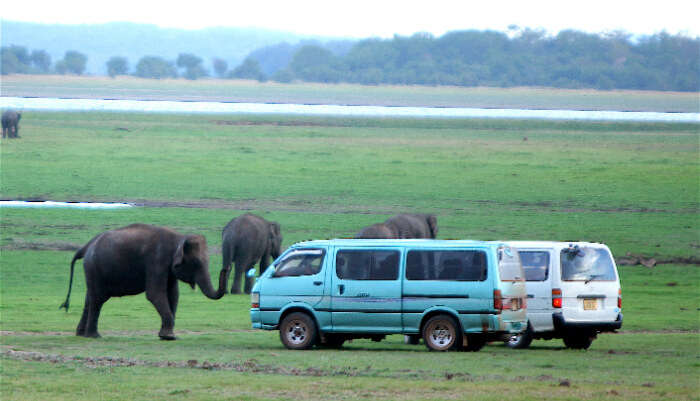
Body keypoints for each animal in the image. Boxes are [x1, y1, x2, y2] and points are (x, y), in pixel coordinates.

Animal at [59, 223, 230, 340]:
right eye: (196, 263)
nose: (226, 268)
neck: (179, 238)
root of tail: (87, 246)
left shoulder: (168, 268)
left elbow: (173, 295)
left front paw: (166, 336)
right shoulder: (157, 260)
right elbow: (155, 294)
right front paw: (169, 337)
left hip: (93, 270)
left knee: (89, 298)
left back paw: (81, 334)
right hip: (94, 268)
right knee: (97, 299)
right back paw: (94, 336)